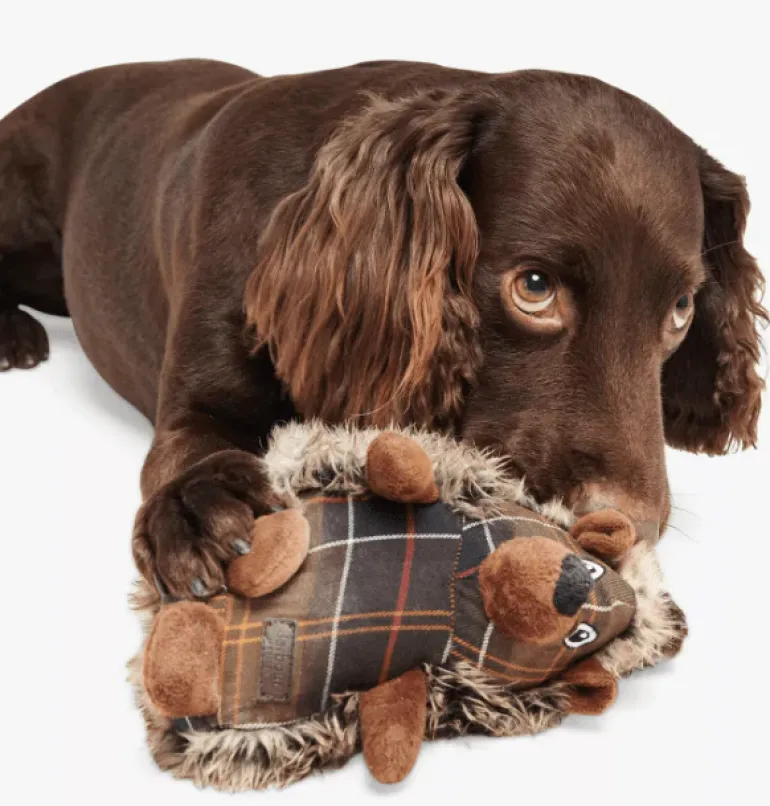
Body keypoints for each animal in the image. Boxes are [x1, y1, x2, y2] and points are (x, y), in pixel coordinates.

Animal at [0, 59, 764, 599]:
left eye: (681, 309)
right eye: (534, 287)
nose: (627, 529)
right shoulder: (196, 398)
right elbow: (190, 448)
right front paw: (198, 509)